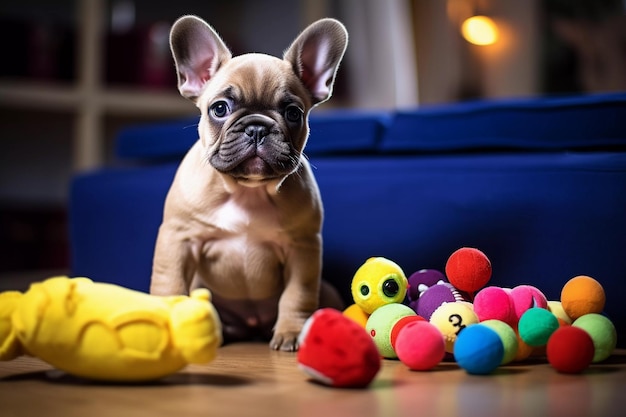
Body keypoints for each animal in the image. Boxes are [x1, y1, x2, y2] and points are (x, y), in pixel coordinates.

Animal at [149, 14, 348, 350]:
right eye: (219, 109)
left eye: (293, 113)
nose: (257, 128)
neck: (247, 191)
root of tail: (252, 326)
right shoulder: (178, 239)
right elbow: (170, 285)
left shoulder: (303, 248)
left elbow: (297, 294)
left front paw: (291, 332)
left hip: (328, 289)